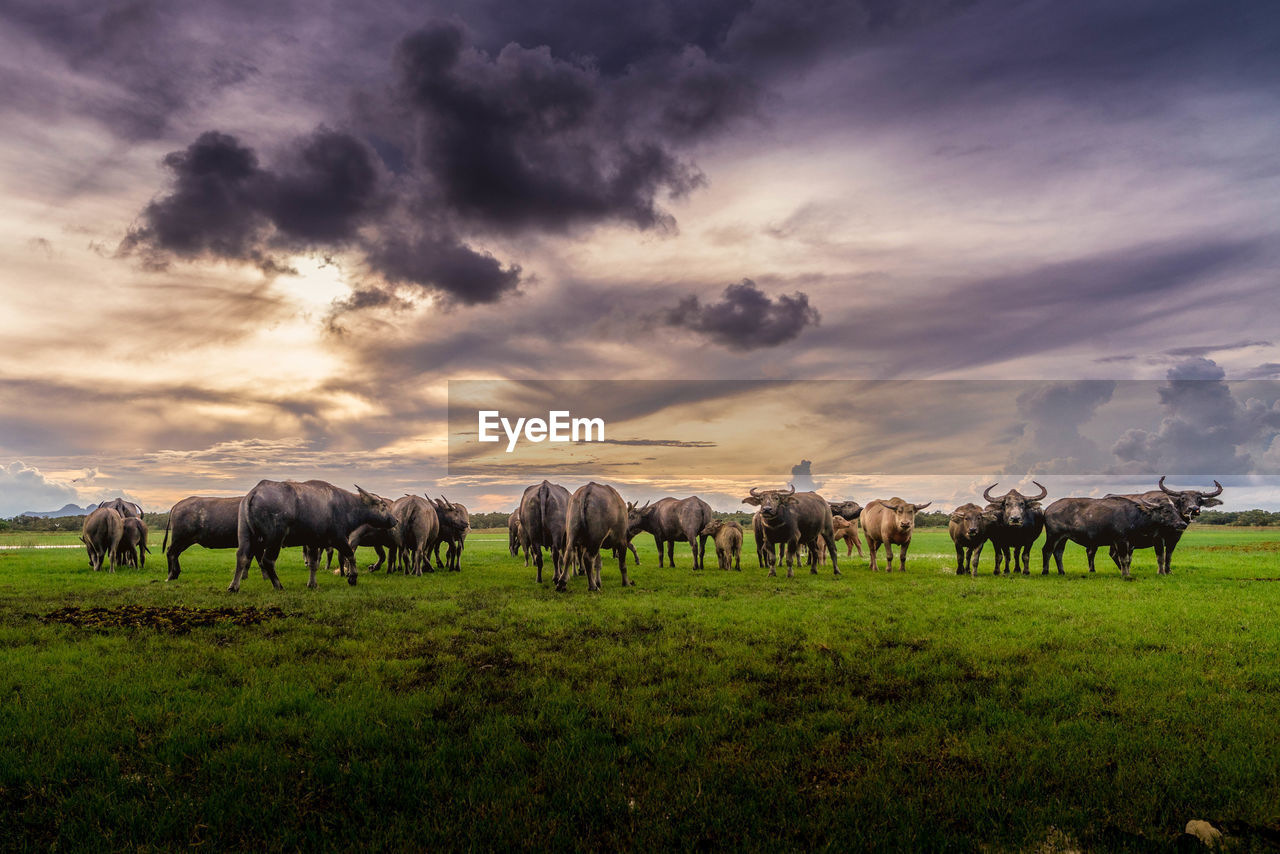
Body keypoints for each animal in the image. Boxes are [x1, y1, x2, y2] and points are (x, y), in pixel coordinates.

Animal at [227, 481, 391, 594]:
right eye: (383, 505)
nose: (394, 520)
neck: (347, 506)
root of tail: (253, 493)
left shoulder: (313, 542)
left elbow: (313, 563)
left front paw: (312, 584)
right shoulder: (338, 538)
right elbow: (350, 555)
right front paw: (352, 577)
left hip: (246, 535)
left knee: (241, 557)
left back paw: (234, 586)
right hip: (275, 539)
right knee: (267, 561)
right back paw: (278, 586)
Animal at [1039, 494, 1187, 581]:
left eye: (1175, 510)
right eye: (1166, 511)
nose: (1183, 524)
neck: (1134, 516)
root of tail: (1048, 509)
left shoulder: (1128, 543)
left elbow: (1127, 560)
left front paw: (1127, 573)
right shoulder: (1121, 541)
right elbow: (1124, 559)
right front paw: (1126, 575)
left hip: (1063, 538)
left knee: (1058, 552)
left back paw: (1062, 571)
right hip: (1053, 535)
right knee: (1047, 550)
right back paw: (1045, 571)